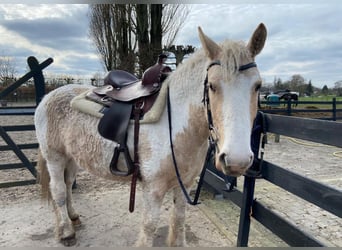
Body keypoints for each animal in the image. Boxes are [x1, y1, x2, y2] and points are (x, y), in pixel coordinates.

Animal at [34, 23, 268, 246]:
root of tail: (48, 97)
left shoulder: (184, 185)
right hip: (54, 157)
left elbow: (179, 219)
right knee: (58, 190)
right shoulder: (153, 189)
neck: (176, 125)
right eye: (212, 85)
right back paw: (66, 232)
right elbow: (149, 226)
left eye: (258, 86)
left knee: (67, 184)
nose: (236, 160)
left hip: (72, 157)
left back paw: (74, 217)